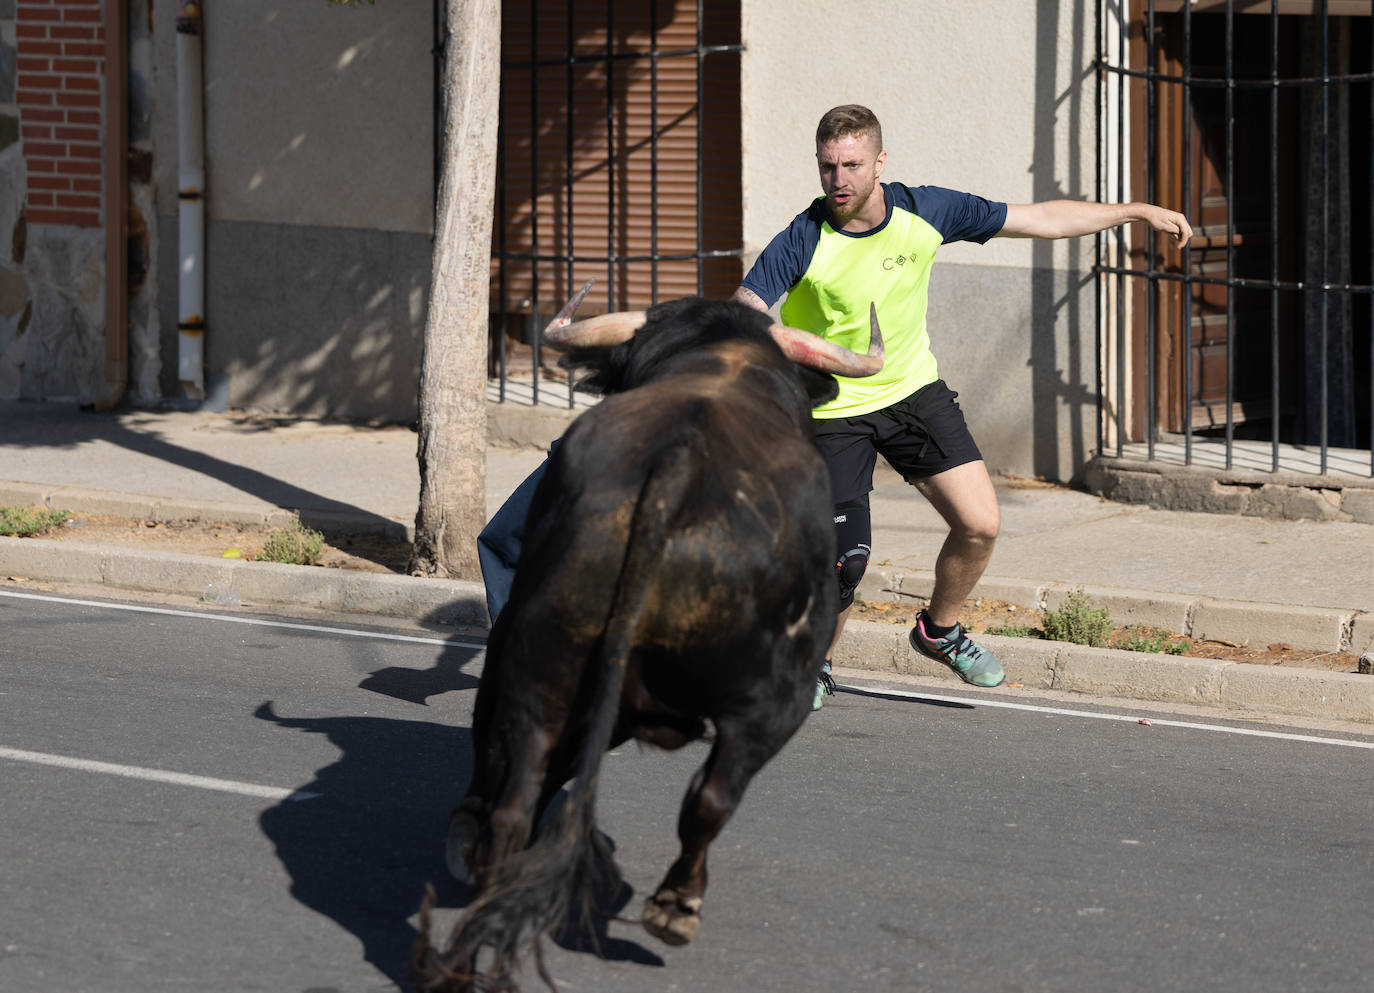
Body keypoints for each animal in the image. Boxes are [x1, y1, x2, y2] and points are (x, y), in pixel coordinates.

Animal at [414, 299, 879, 988]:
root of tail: (679, 465)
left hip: (548, 672)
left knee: (518, 805)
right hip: (772, 699)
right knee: (707, 796)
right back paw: (671, 905)